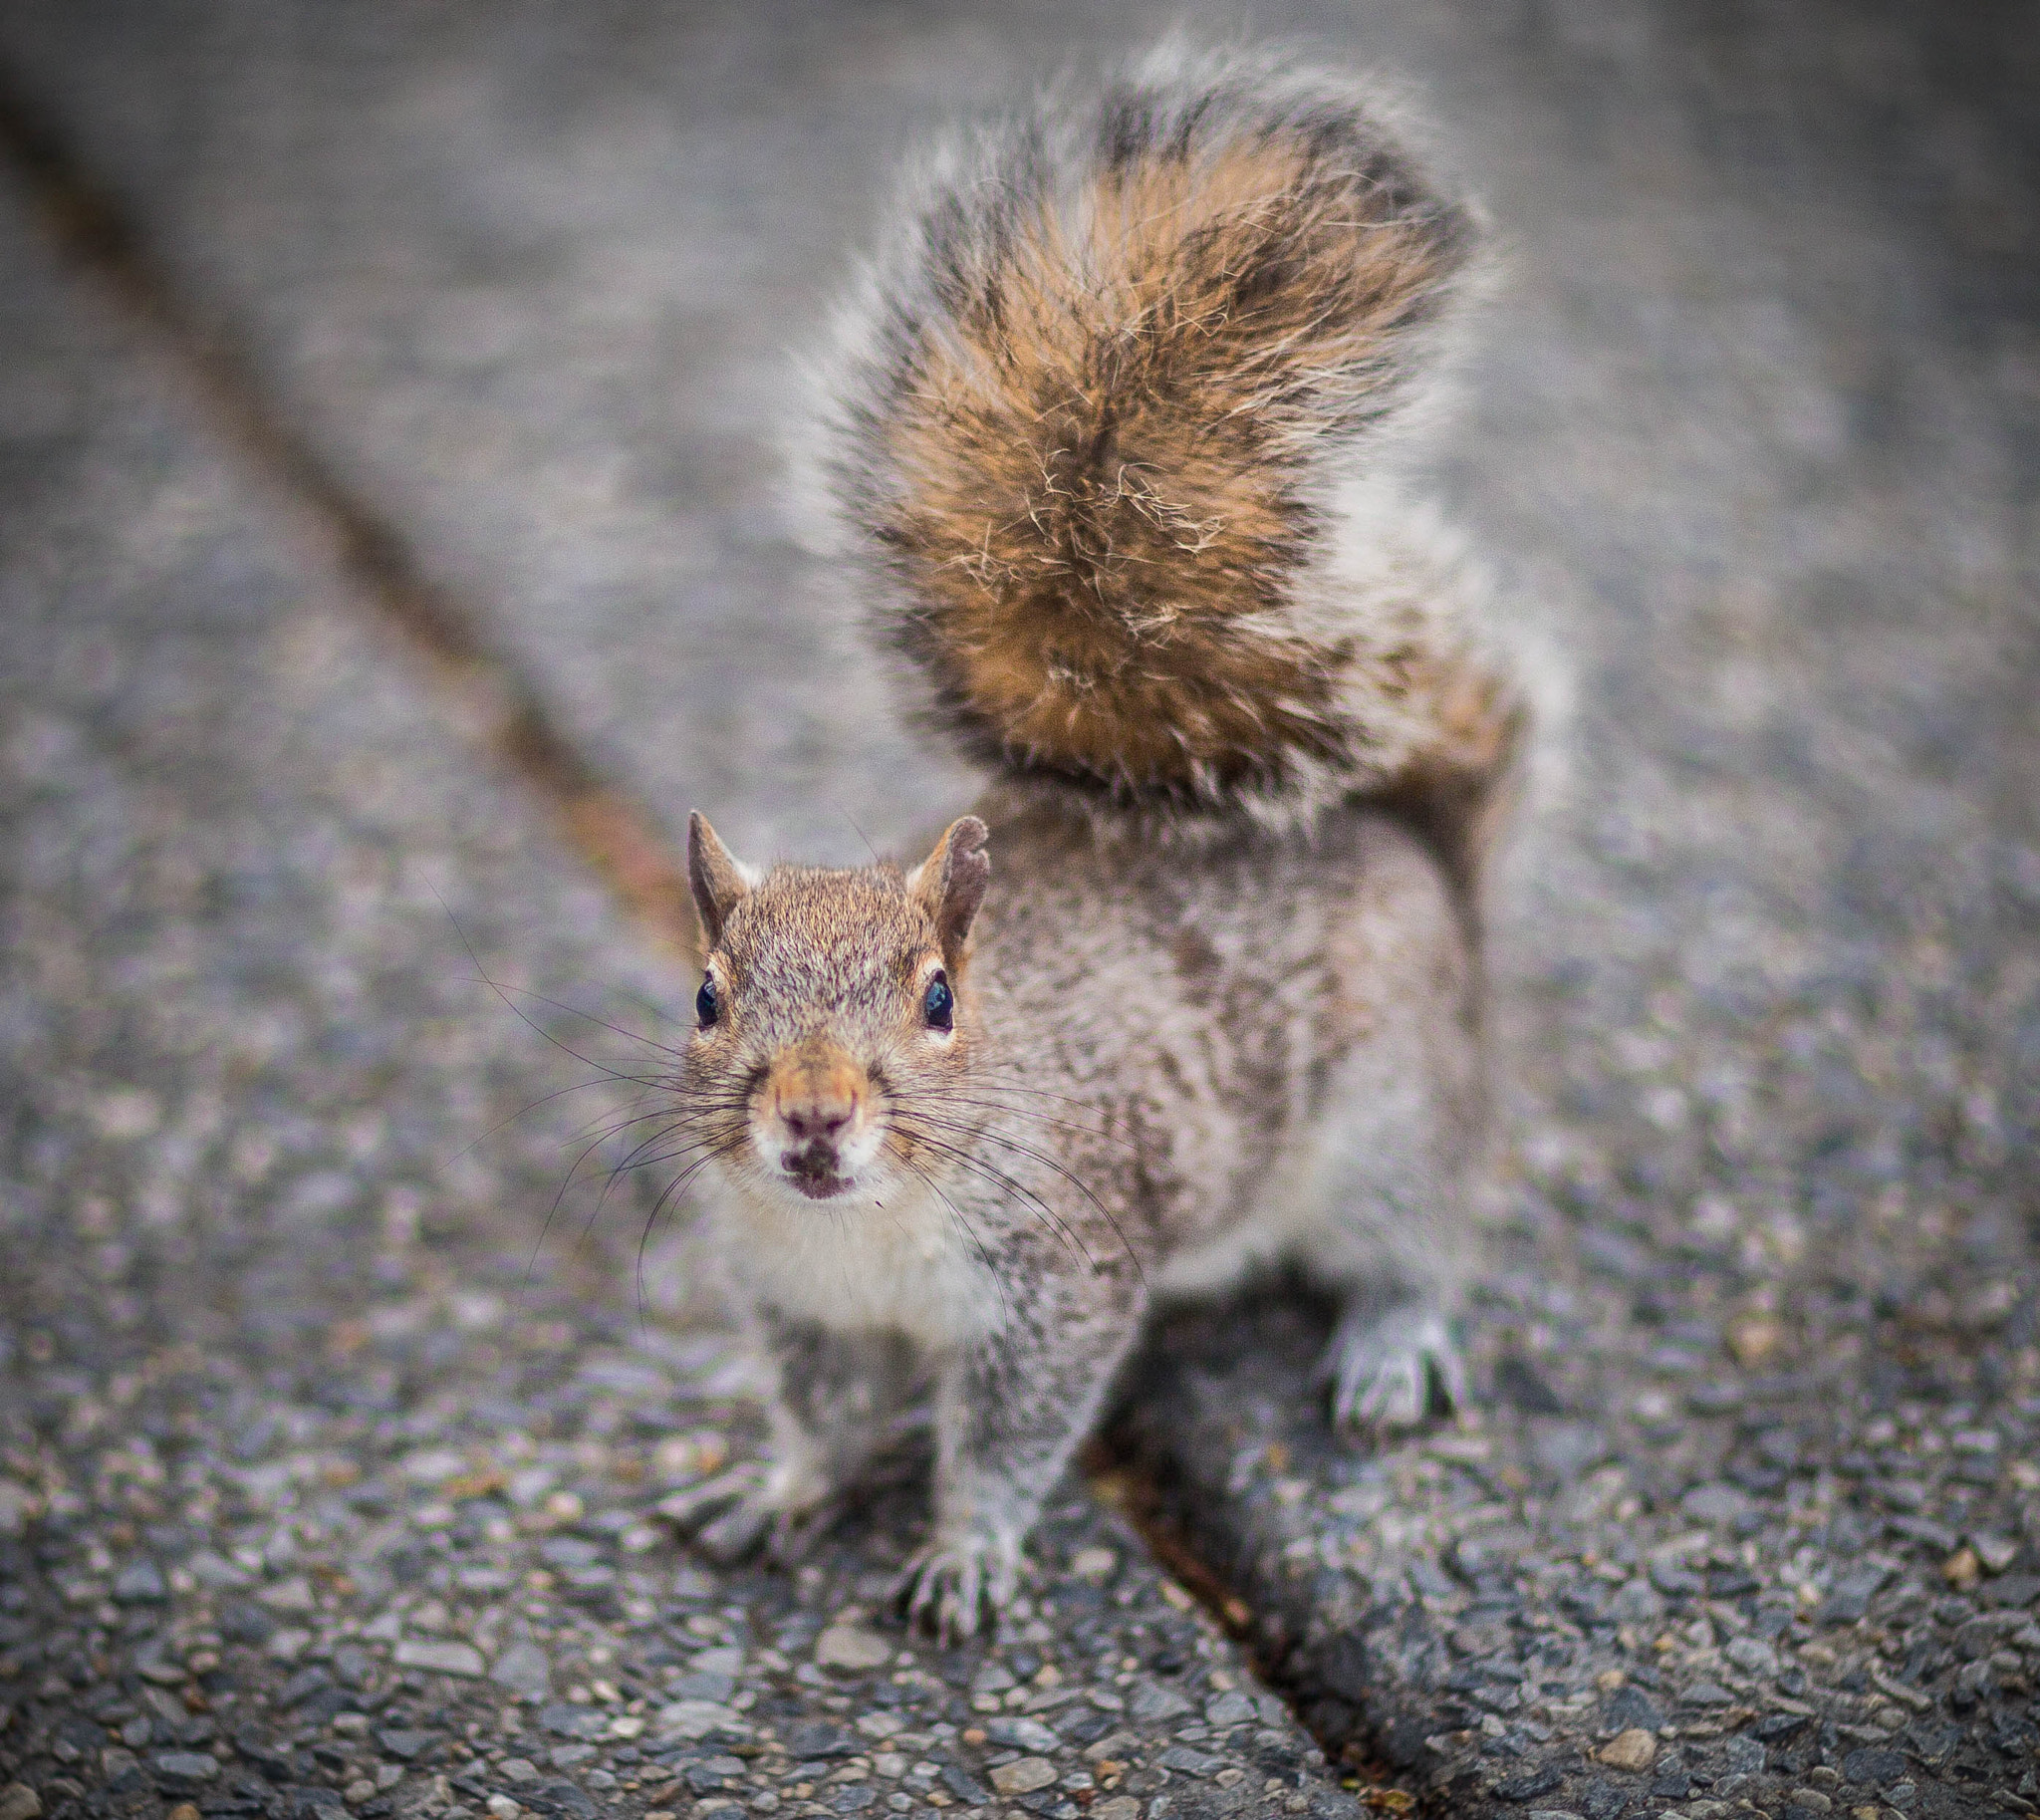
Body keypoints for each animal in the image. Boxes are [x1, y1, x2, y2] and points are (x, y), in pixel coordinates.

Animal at [660, 42, 1525, 1640]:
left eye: (940, 997)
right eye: (704, 996)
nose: (809, 1117)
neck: (861, 1228)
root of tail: (1414, 848)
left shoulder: (1062, 1279)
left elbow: (1009, 1436)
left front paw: (964, 1553)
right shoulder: (804, 1305)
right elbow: (821, 1417)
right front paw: (776, 1486)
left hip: (1391, 1111)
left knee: (1422, 1233)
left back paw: (1390, 1340)